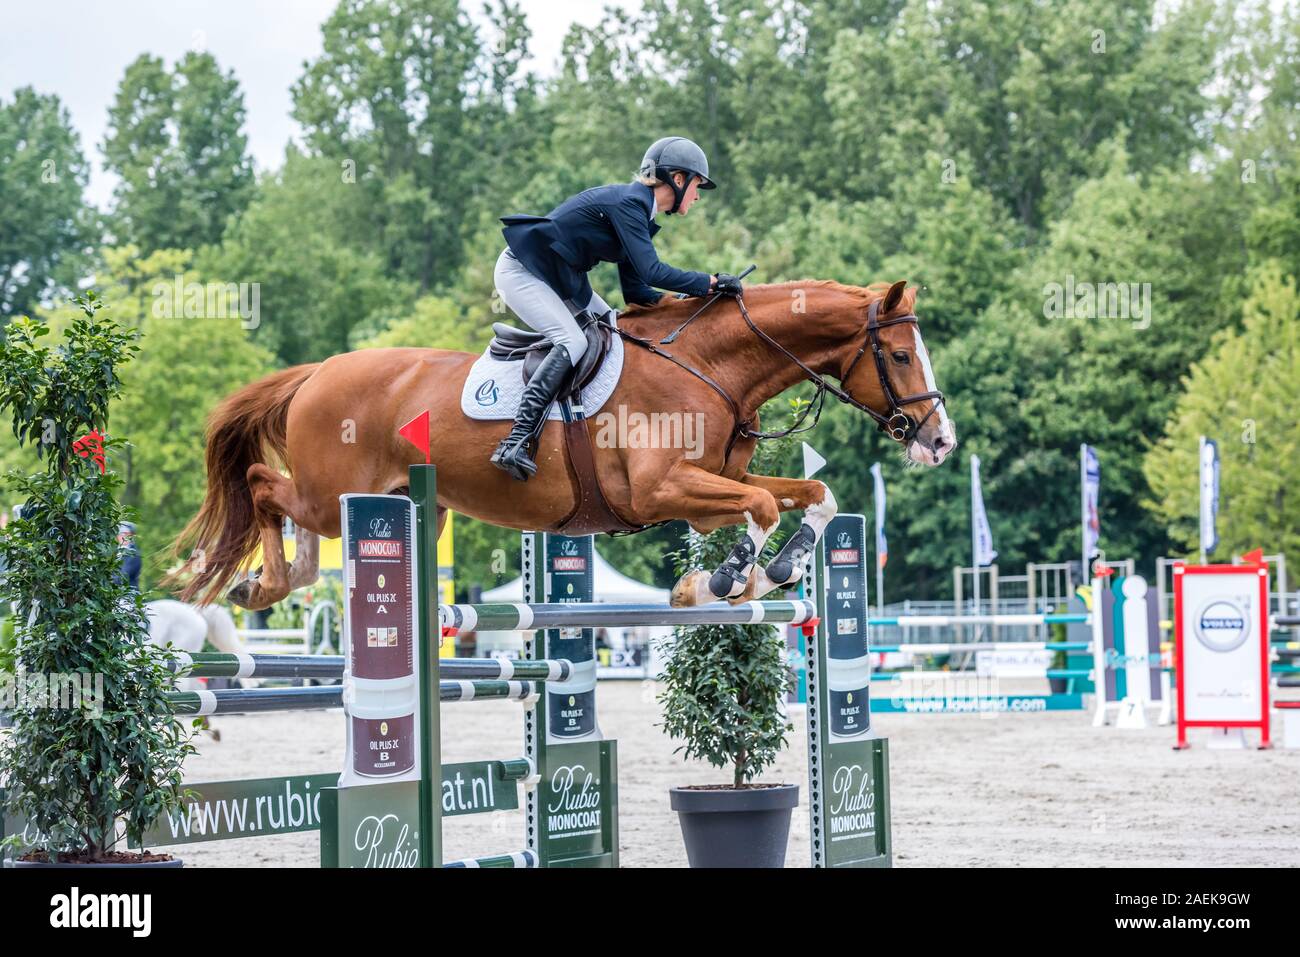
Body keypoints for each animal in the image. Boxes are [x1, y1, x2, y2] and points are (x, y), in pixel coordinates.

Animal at [172, 276, 956, 608]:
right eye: (901, 355)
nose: (941, 441)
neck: (710, 365)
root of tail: (317, 372)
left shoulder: (709, 492)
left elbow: (812, 494)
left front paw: (776, 573)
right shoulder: (665, 491)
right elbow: (762, 509)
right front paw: (724, 581)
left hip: (373, 502)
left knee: (296, 522)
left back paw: (273, 582)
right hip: (330, 491)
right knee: (261, 485)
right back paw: (264, 581)